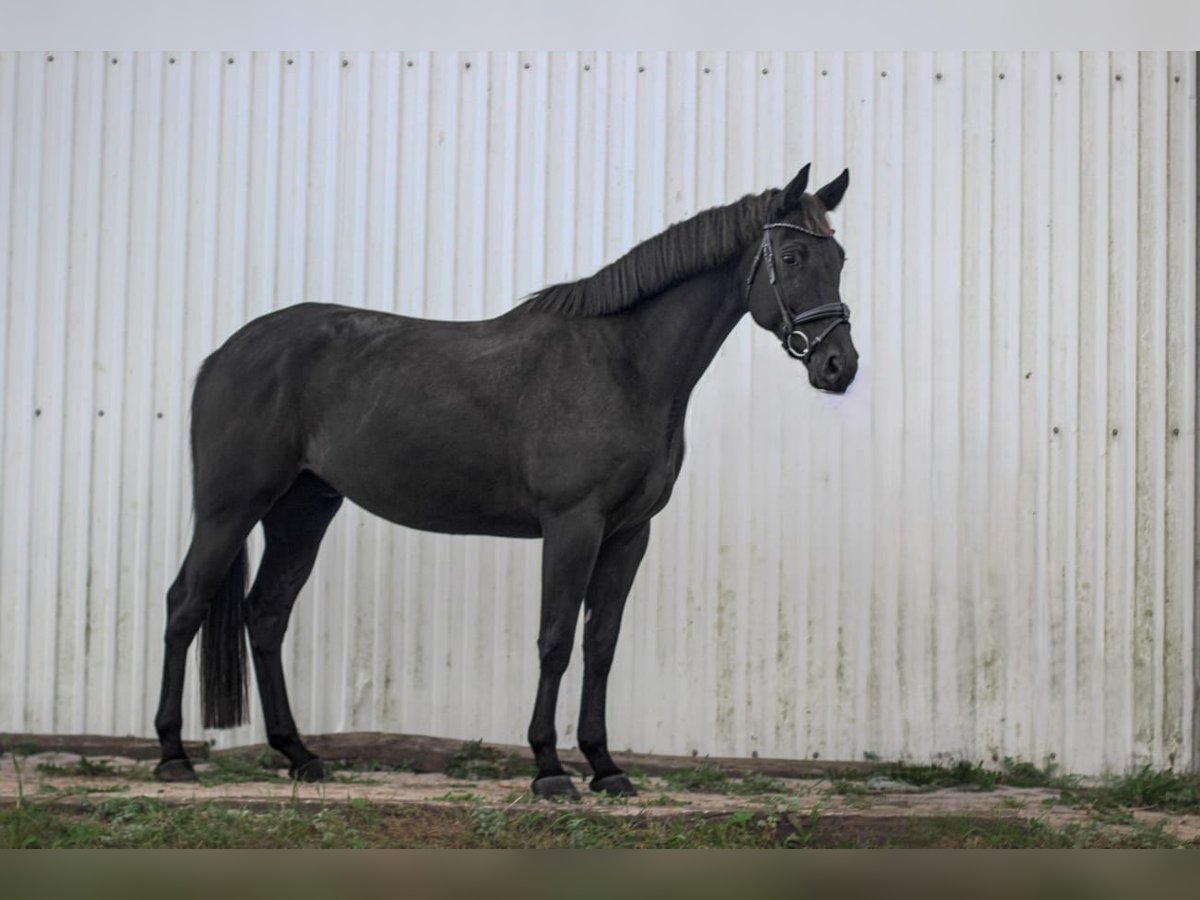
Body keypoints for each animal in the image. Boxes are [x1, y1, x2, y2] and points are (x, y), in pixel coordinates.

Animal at [154, 165, 859, 801]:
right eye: (791, 255)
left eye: (841, 257)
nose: (838, 365)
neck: (622, 364)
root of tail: (224, 353)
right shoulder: (572, 525)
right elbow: (556, 639)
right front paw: (549, 769)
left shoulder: (629, 534)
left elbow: (601, 644)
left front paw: (605, 767)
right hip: (231, 507)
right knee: (185, 604)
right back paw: (172, 757)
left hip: (303, 509)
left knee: (267, 615)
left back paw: (299, 756)